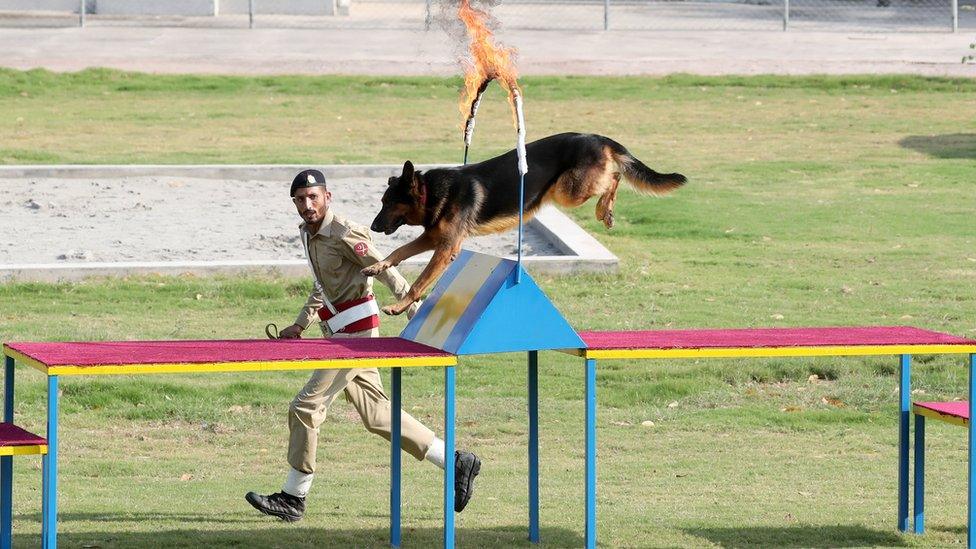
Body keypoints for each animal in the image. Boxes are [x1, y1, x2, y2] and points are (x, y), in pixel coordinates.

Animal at [360, 131, 688, 314]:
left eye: (388, 203)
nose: (373, 227)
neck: (432, 192)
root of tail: (596, 136)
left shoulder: (446, 247)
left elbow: (419, 282)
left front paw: (398, 306)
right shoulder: (433, 238)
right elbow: (398, 252)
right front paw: (377, 266)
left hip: (568, 189)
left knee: (615, 176)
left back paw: (604, 210)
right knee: (615, 175)